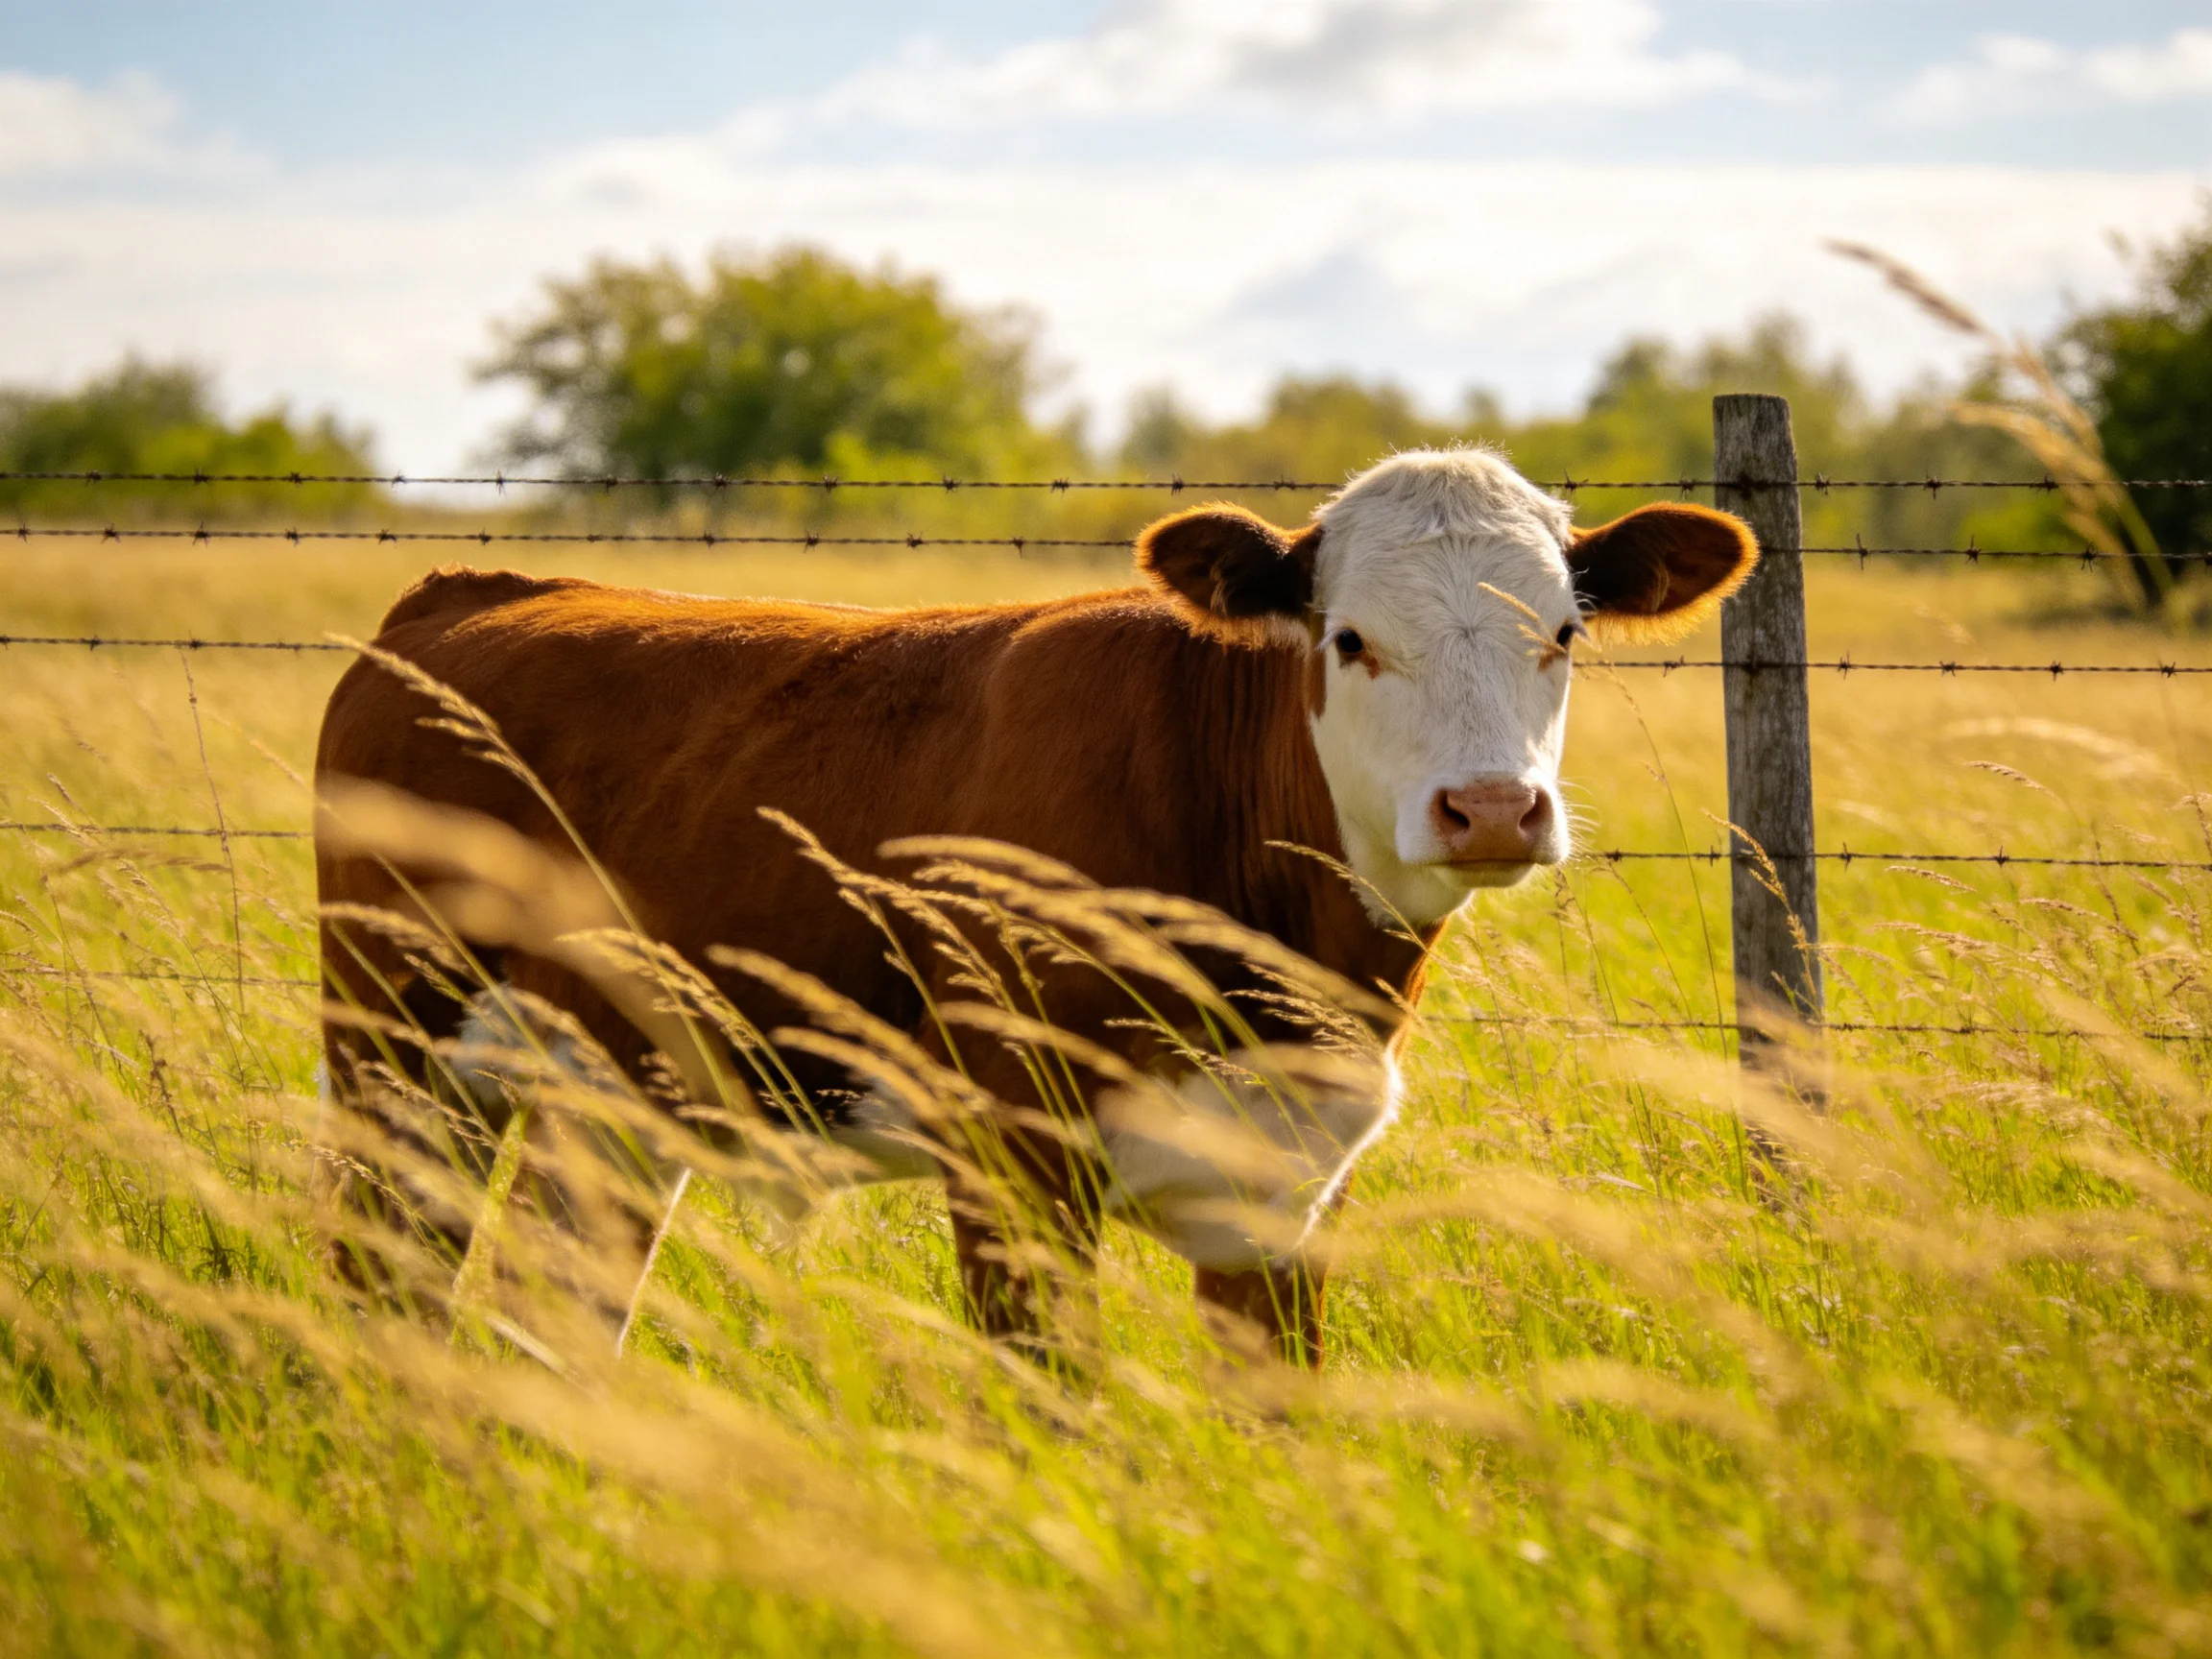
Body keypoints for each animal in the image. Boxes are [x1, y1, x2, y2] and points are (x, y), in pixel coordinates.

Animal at [315, 448, 1755, 1365]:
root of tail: (469, 592)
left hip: (606, 1093)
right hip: (391, 1043)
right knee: (379, 1268)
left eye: (1562, 635)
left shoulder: (1291, 1195)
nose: (1494, 810)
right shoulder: (1013, 1156)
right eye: (1349, 641)